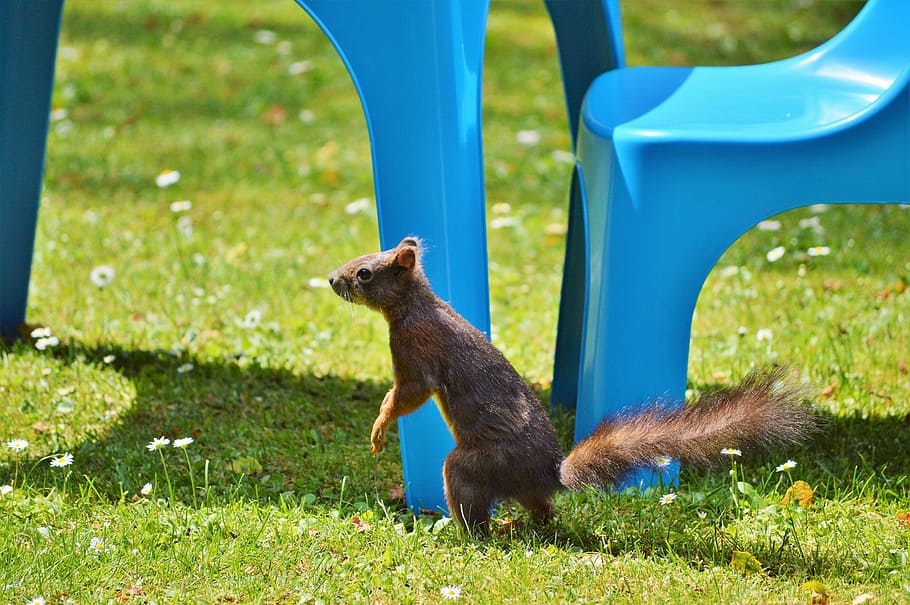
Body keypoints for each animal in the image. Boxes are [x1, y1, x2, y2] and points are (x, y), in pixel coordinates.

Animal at [328, 237, 817, 532]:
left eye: (365, 273)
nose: (333, 279)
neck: (414, 305)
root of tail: (548, 474)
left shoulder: (416, 351)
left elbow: (407, 394)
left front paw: (379, 427)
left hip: (475, 466)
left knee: (474, 505)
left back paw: (463, 534)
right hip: (523, 490)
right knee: (541, 511)